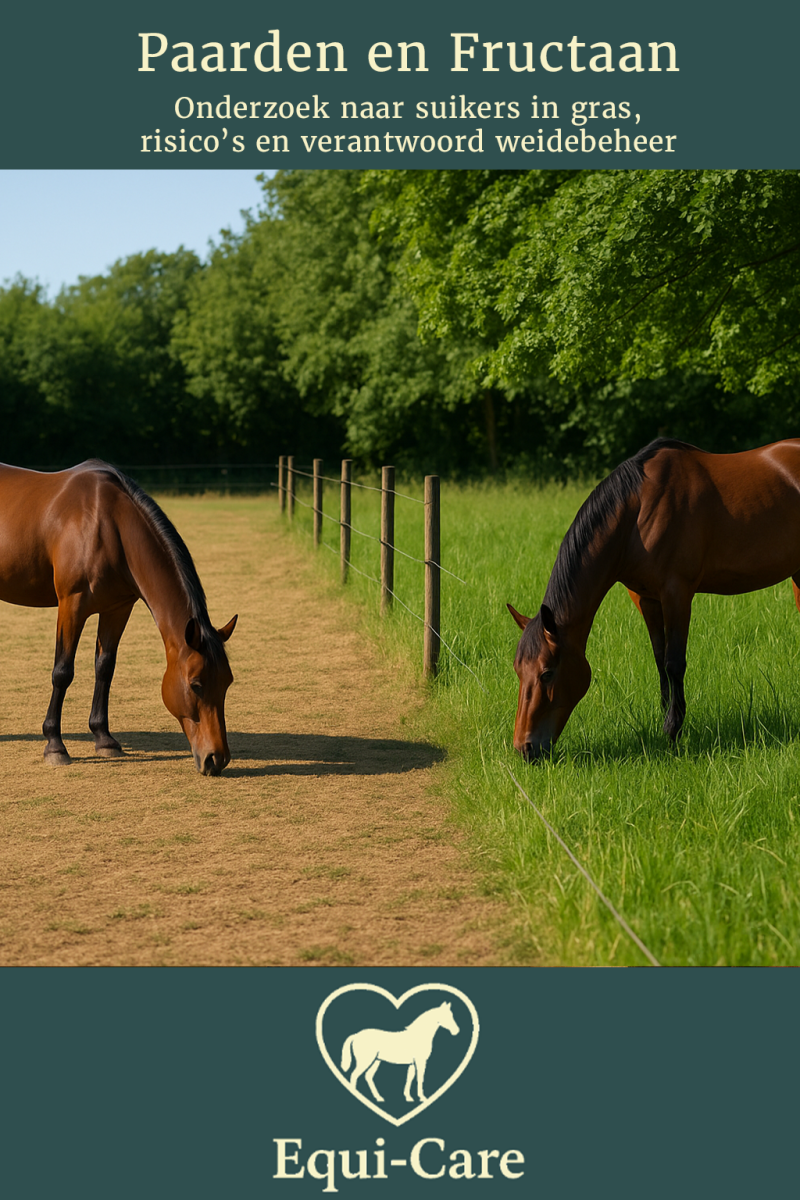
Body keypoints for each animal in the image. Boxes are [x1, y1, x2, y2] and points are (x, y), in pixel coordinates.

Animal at [0, 460, 237, 775]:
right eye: (195, 685)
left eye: (227, 682)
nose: (216, 759)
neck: (106, 526)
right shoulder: (71, 606)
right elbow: (62, 672)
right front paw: (54, 745)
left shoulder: (117, 608)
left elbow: (105, 668)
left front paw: (104, 739)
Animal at [509, 437, 800, 761]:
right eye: (518, 670)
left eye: (547, 673)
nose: (524, 747)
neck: (636, 514)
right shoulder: (646, 599)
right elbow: (660, 661)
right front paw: (664, 717)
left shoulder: (677, 593)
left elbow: (674, 663)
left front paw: (673, 731)